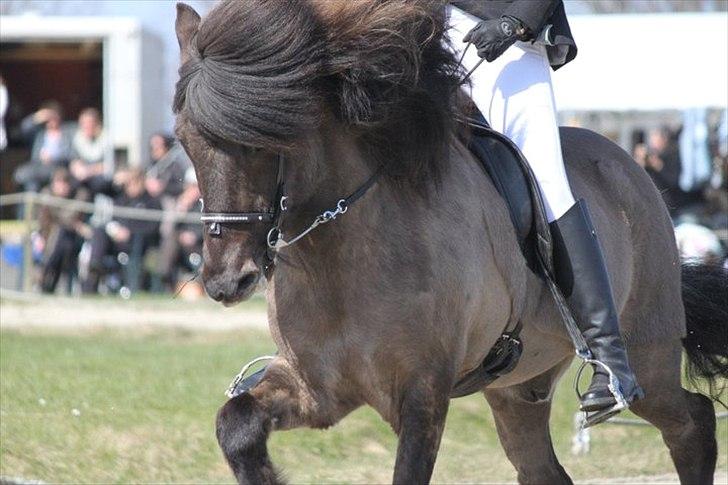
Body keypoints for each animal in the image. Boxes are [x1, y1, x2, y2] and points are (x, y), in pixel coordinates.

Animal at [172, 1, 728, 482]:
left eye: (260, 139)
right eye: (184, 140)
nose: (226, 281)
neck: (340, 254)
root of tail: (631, 168)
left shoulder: (422, 394)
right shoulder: (318, 387)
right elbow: (237, 425)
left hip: (648, 357)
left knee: (692, 421)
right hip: (517, 390)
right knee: (546, 469)